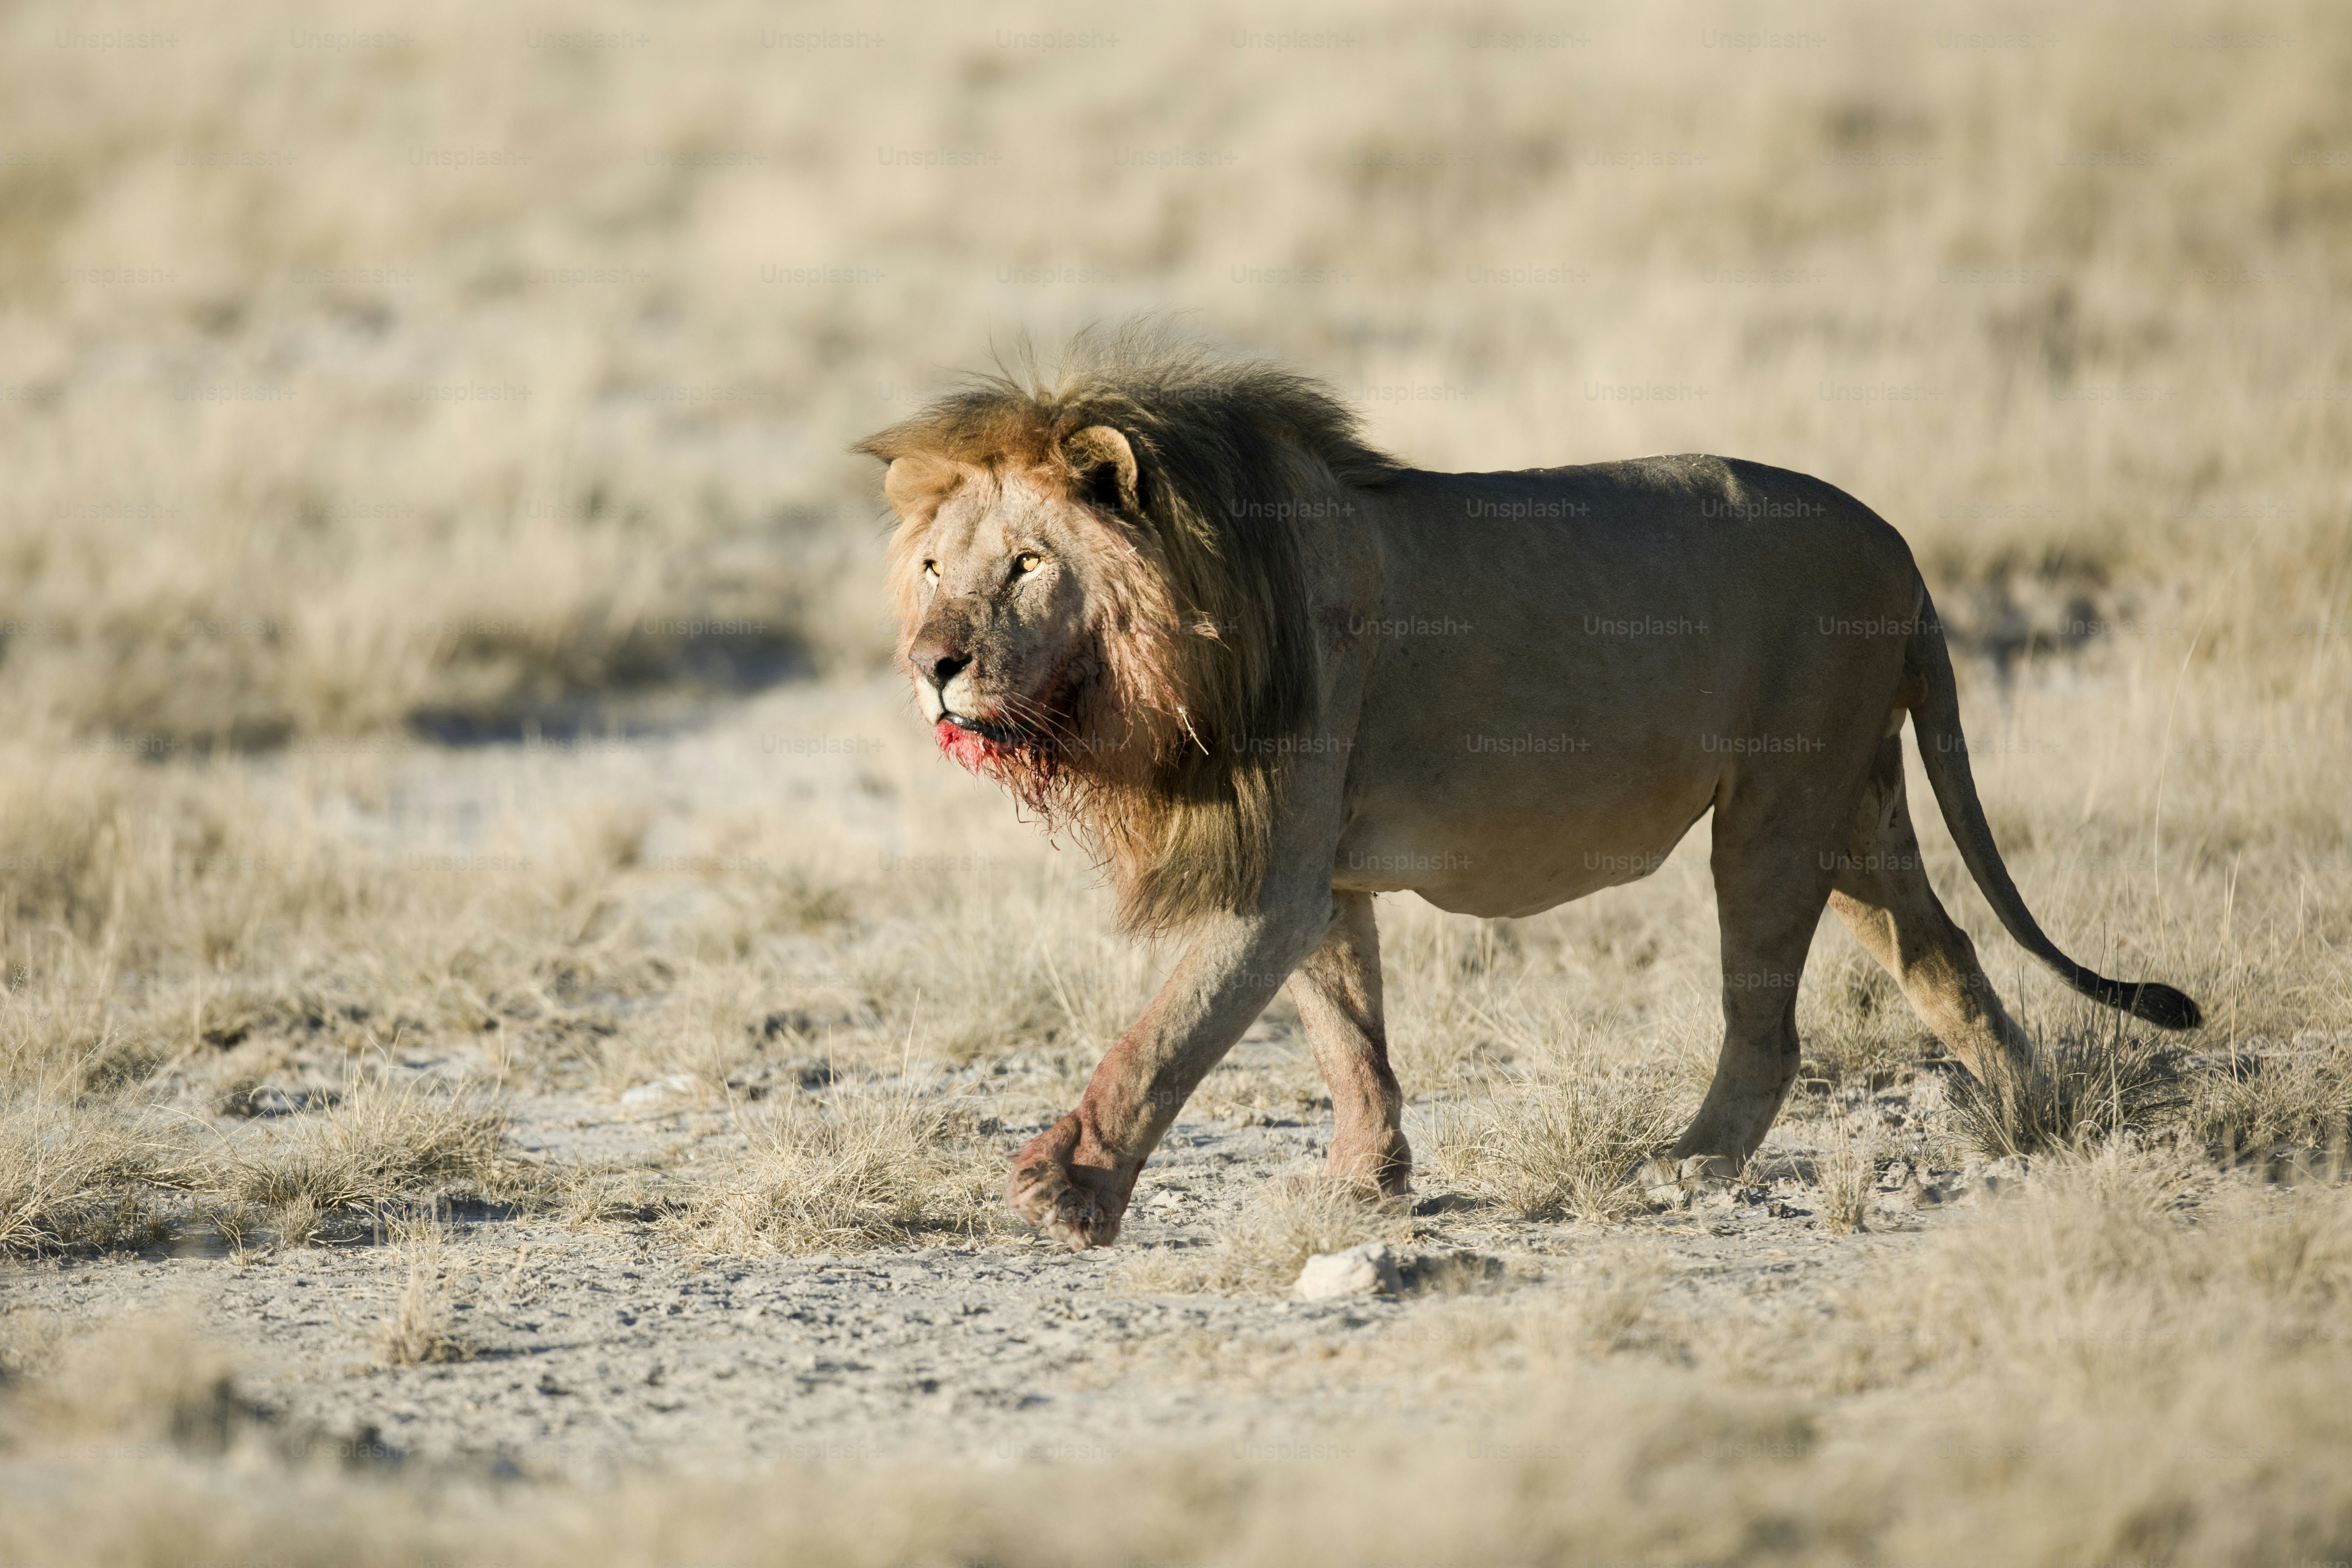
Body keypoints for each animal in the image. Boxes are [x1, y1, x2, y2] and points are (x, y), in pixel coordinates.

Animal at [865, 329, 2201, 1250]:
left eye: (1027, 565)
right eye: (933, 567)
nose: (934, 664)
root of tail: (1905, 551)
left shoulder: (1272, 873)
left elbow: (1167, 1034)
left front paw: (1066, 1190)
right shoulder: (1317, 871)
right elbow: (1347, 1034)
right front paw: (1363, 1180)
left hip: (1776, 807)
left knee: (1771, 1025)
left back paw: (1690, 1164)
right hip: (1855, 805)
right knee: (1946, 957)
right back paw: (2039, 1122)